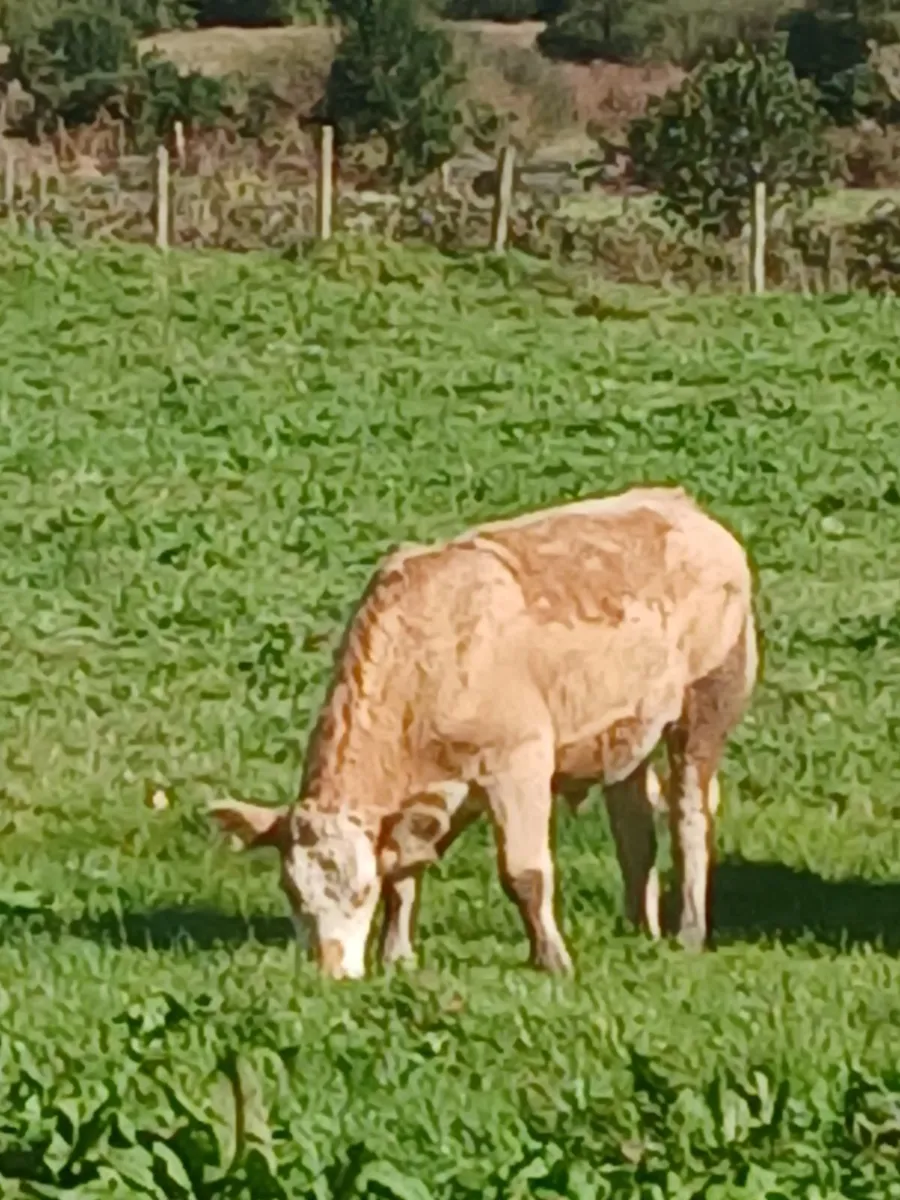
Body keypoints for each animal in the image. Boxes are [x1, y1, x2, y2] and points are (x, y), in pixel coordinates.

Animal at [210, 485, 757, 980]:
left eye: (361, 890)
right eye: (290, 890)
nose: (330, 973)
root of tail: (682, 505)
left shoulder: (520, 761)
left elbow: (525, 872)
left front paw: (552, 959)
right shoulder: (435, 795)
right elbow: (407, 865)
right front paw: (397, 955)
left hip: (707, 703)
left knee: (689, 814)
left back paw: (688, 931)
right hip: (628, 732)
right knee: (634, 825)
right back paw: (638, 928)